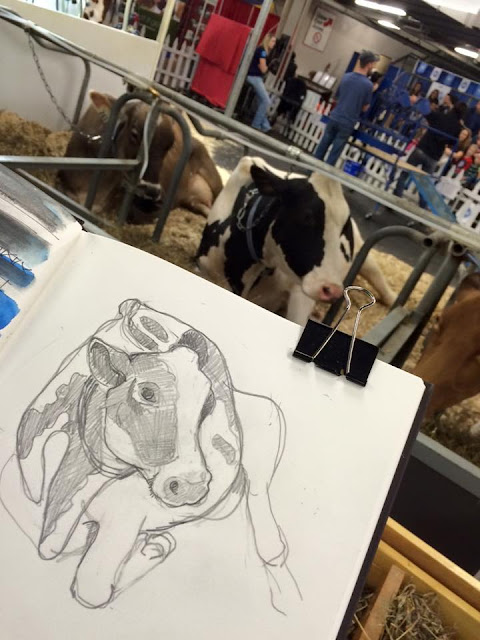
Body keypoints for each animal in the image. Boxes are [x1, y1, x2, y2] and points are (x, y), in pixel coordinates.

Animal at [0, 299, 300, 614]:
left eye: (208, 401)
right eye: (146, 393)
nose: (191, 484)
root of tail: (135, 307)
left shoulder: (123, 523)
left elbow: (93, 589)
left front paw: (153, 548)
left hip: (269, 419)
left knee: (264, 515)